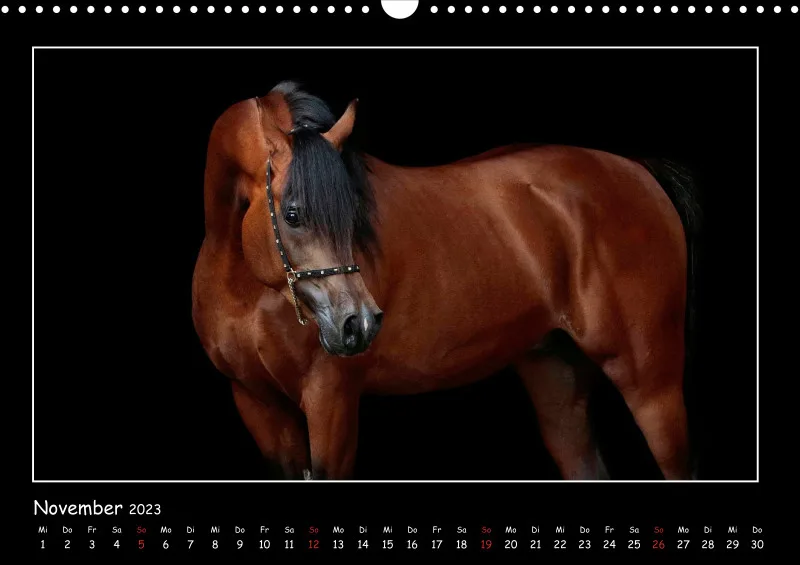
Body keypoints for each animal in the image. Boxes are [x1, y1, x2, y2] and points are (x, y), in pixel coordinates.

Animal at [191, 81, 701, 481]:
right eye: (293, 214)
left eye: (354, 214)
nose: (359, 323)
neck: (246, 288)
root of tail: (636, 169)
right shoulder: (257, 404)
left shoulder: (330, 400)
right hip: (555, 373)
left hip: (650, 383)